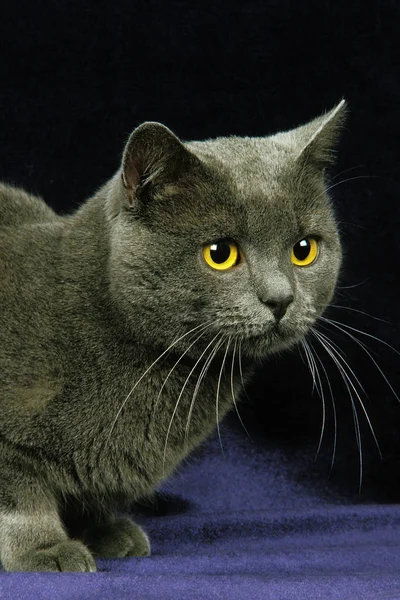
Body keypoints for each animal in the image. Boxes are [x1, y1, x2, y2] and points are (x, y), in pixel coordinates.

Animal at [0, 99, 346, 572]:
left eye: (304, 250)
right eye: (220, 254)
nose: (280, 298)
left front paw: (104, 529)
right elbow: (20, 498)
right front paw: (44, 549)